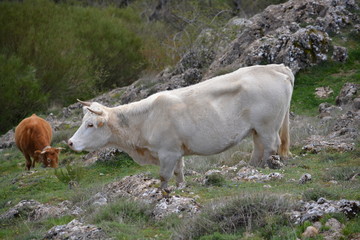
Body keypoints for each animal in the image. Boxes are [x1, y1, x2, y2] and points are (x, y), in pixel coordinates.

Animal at [69, 63, 294, 193]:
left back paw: (265, 168)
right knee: (259, 147)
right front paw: (180, 187)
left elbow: (164, 176)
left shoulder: (167, 152)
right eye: (83, 121)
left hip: (267, 126)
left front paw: (164, 193)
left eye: (90, 124)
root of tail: (277, 67)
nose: (70, 142)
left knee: (271, 146)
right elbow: (178, 172)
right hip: (256, 129)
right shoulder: (176, 151)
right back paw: (253, 167)